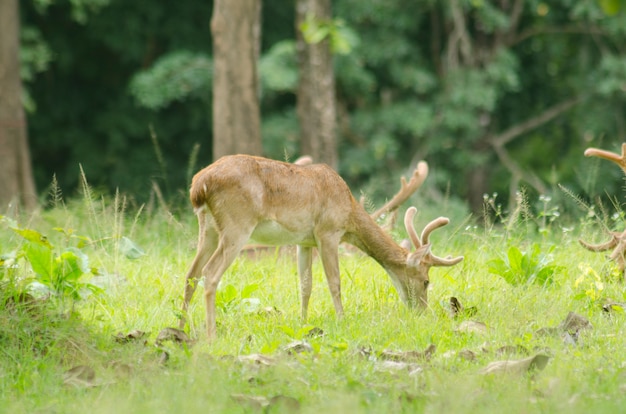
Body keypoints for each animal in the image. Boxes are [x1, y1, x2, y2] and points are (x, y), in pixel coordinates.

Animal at [180, 154, 464, 338]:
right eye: (426, 280)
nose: (422, 311)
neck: (349, 213)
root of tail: (199, 185)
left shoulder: (304, 241)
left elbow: (305, 285)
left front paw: (303, 322)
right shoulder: (327, 232)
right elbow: (334, 282)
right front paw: (342, 320)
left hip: (208, 227)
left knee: (191, 274)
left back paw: (182, 326)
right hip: (237, 224)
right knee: (210, 273)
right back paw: (211, 333)